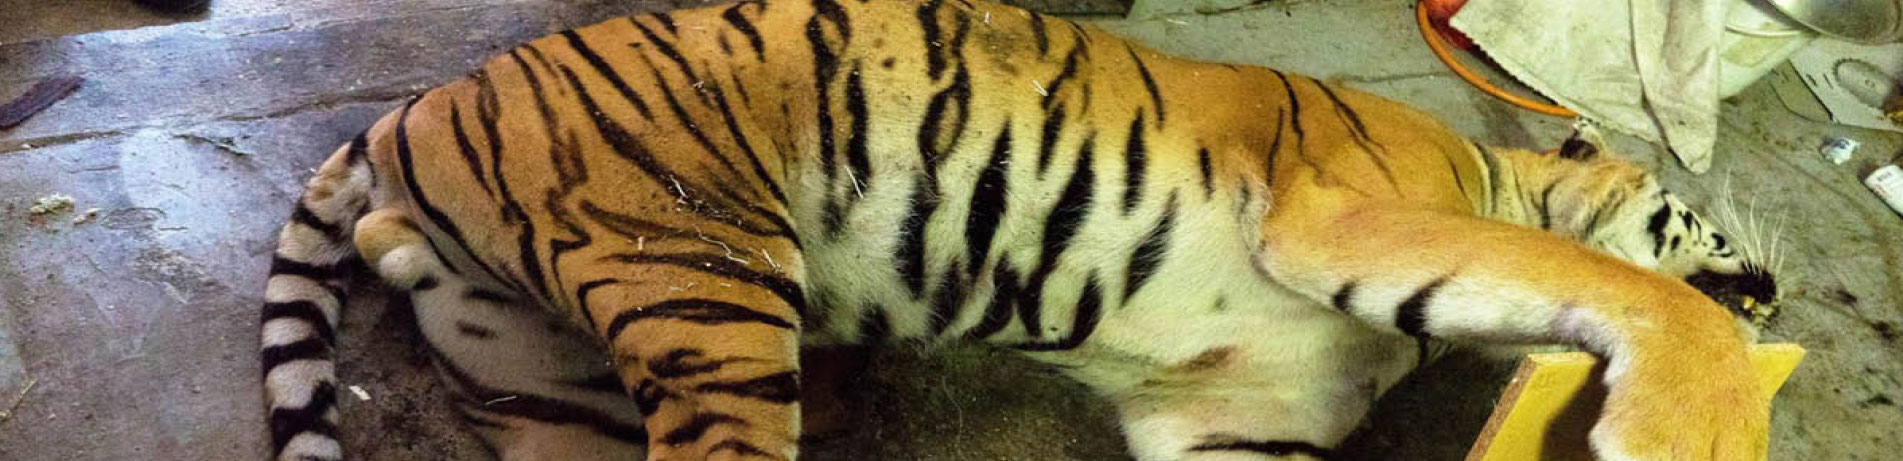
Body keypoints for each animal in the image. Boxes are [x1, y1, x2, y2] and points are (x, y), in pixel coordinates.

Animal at [253, 0, 1781, 459]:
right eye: (1703, 227)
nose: (1771, 286)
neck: (1486, 165)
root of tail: (417, 108)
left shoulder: (1232, 423)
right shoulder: (1348, 212)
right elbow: (1614, 284)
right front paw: (1686, 425)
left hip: (551, 372)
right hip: (702, 276)